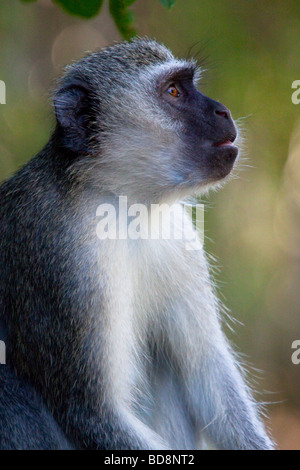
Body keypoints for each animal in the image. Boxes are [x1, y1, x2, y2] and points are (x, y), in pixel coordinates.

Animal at [0, 38, 274, 450]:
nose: (223, 110)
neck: (126, 205)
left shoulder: (179, 236)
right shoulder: (61, 260)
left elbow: (207, 375)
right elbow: (92, 413)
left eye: (188, 84)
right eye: (174, 92)